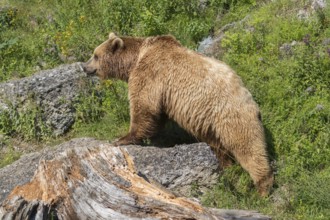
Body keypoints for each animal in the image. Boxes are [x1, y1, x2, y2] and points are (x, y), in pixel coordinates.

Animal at [84, 31, 274, 195]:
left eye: (95, 55)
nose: (85, 68)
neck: (134, 59)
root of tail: (250, 99)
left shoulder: (150, 74)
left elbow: (144, 106)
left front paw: (123, 138)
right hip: (212, 123)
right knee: (219, 145)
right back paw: (226, 165)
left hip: (231, 116)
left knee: (248, 147)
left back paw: (263, 188)